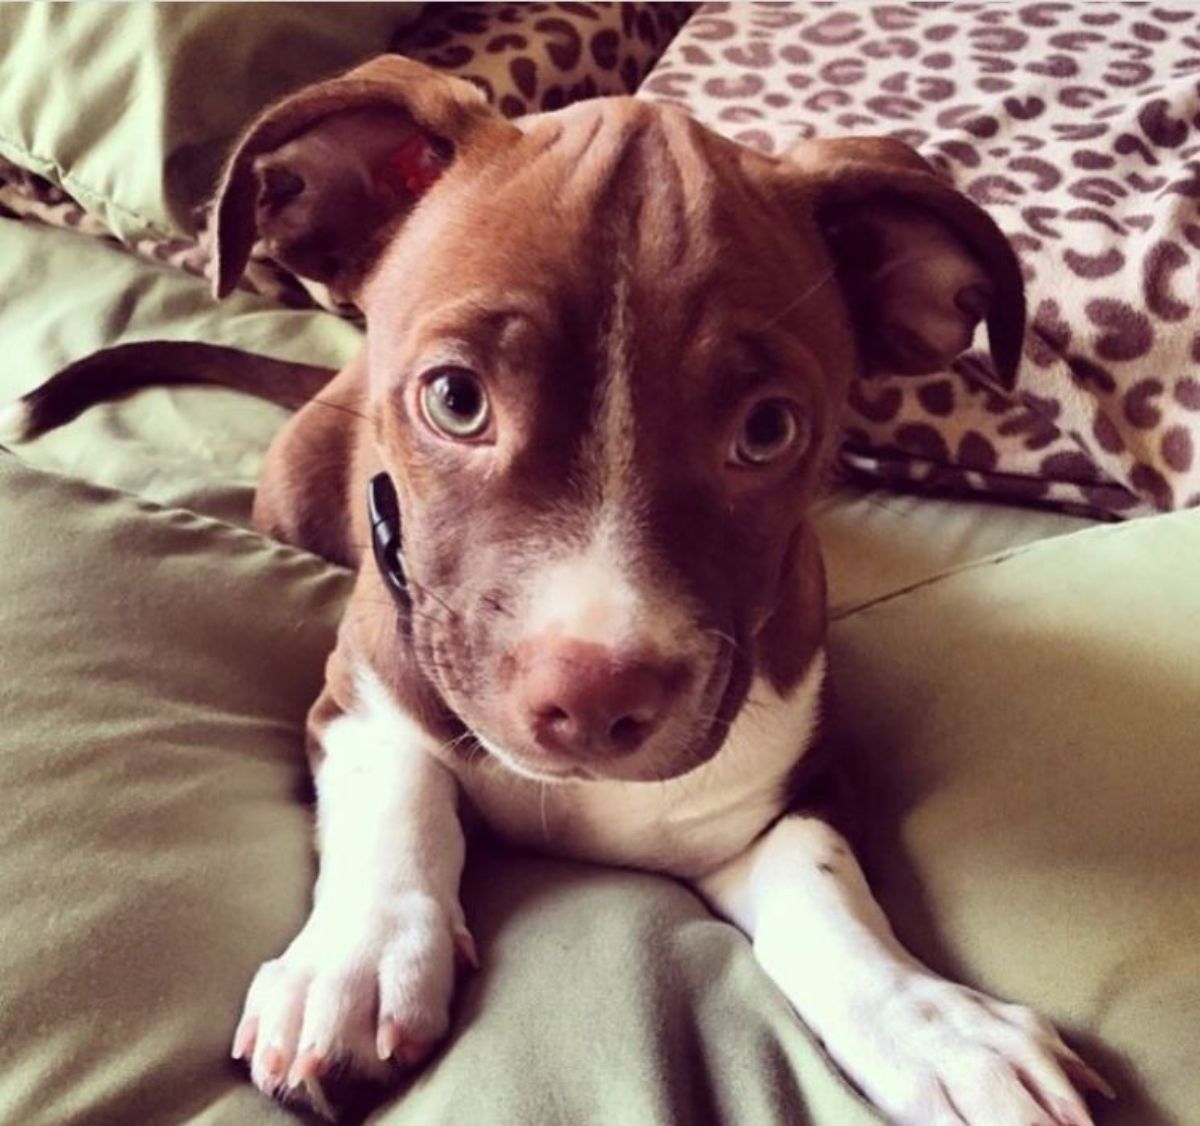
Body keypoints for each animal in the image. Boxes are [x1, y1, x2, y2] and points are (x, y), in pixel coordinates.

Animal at [11, 54, 1113, 1123]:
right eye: (456, 399)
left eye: (768, 430)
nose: (593, 699)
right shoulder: (356, 691)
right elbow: (397, 793)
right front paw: (355, 965)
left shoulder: (801, 782)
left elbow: (826, 892)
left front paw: (937, 1030)